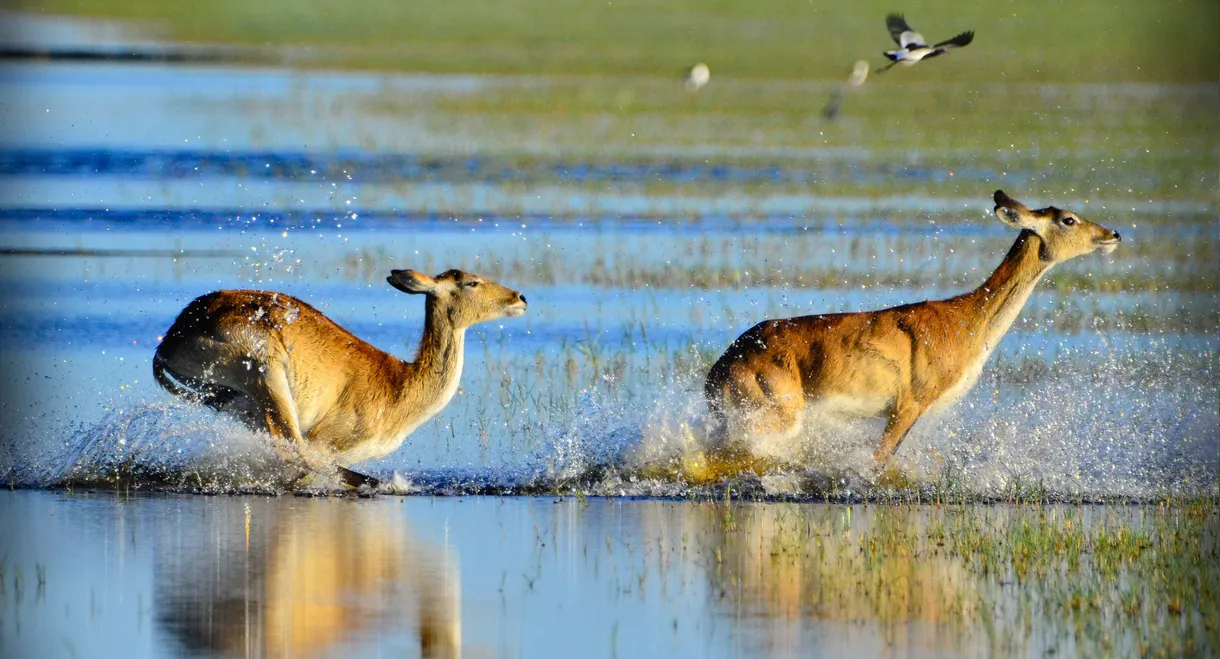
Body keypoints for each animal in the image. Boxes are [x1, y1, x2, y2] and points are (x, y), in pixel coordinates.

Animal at [151, 264, 524, 485]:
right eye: (471, 281)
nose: (519, 297)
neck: (401, 386)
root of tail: (171, 337)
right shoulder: (326, 441)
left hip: (236, 400)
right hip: (266, 373)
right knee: (291, 448)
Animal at [707, 189, 1122, 473]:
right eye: (1068, 219)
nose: (1112, 234)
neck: (965, 321)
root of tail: (719, 367)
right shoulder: (907, 405)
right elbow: (877, 461)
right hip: (775, 413)